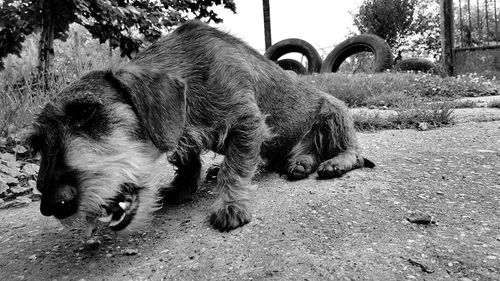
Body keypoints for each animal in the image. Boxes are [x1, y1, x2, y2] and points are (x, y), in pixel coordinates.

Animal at [26, 20, 372, 232]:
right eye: (37, 143)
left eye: (86, 113)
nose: (54, 205)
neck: (191, 69)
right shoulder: (187, 136)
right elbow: (189, 160)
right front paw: (183, 187)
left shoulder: (248, 122)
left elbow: (236, 167)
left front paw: (230, 204)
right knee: (295, 154)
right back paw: (299, 162)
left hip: (334, 111)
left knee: (352, 151)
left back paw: (335, 162)